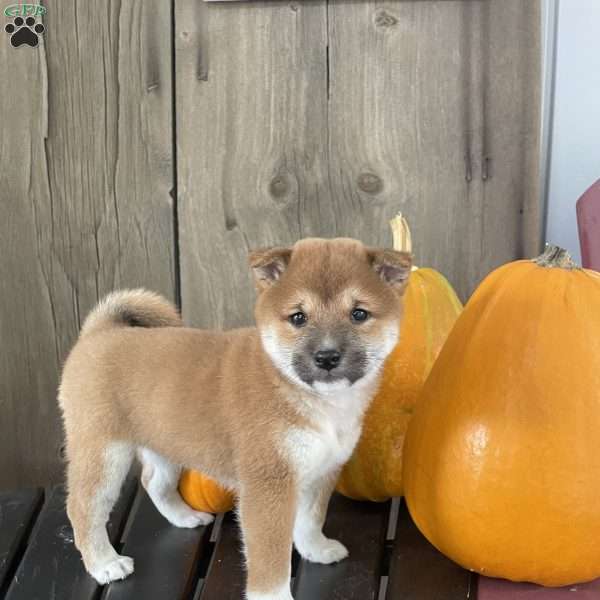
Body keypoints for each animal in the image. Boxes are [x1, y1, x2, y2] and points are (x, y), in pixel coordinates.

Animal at [58, 237, 412, 596]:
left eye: (359, 314)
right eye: (298, 317)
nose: (327, 357)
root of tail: (99, 333)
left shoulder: (320, 472)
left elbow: (311, 520)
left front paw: (316, 549)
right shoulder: (268, 487)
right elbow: (271, 561)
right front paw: (275, 597)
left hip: (164, 443)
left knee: (153, 482)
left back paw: (184, 517)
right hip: (104, 454)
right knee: (83, 508)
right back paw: (105, 563)